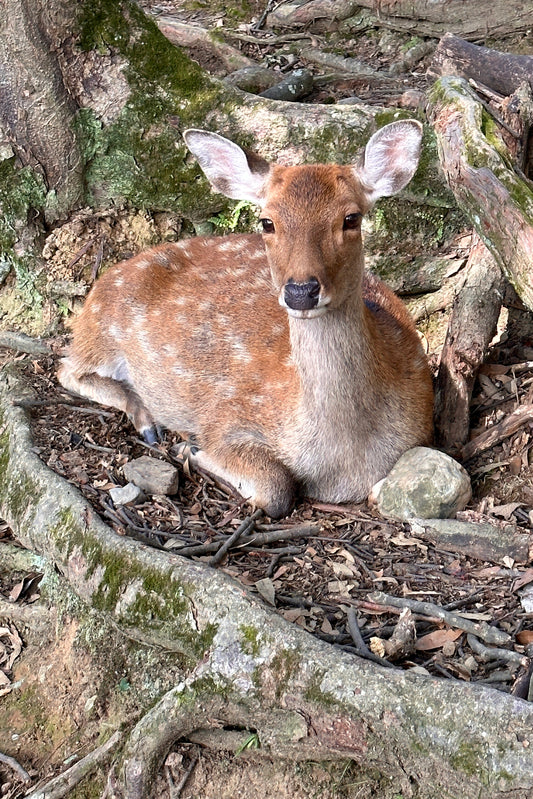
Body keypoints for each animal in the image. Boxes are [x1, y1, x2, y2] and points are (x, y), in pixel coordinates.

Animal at [58, 120, 434, 519]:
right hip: (102, 325)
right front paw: (190, 447)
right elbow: (275, 486)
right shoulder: (227, 416)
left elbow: (381, 493)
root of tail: (109, 275)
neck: (342, 461)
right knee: (67, 369)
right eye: (267, 222)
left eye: (351, 218)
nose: (301, 290)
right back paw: (148, 423)